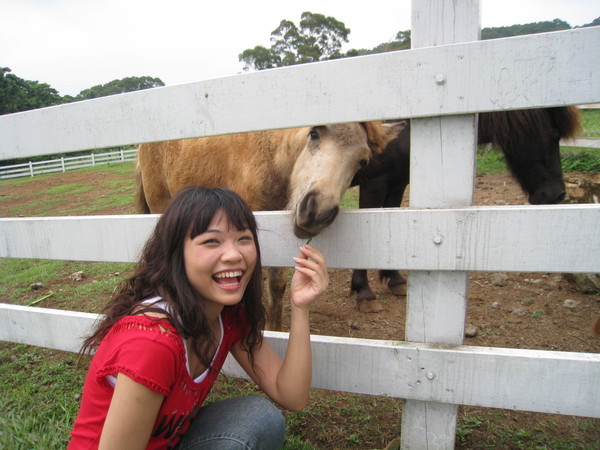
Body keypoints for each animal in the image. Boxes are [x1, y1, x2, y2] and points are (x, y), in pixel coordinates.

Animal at [136, 121, 404, 328]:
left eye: (363, 162)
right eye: (314, 135)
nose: (317, 212)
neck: (272, 159)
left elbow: (276, 286)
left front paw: (276, 329)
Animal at [350, 106, 580, 310]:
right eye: (554, 134)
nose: (557, 194)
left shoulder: (397, 184)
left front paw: (395, 279)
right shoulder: (374, 184)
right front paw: (364, 293)